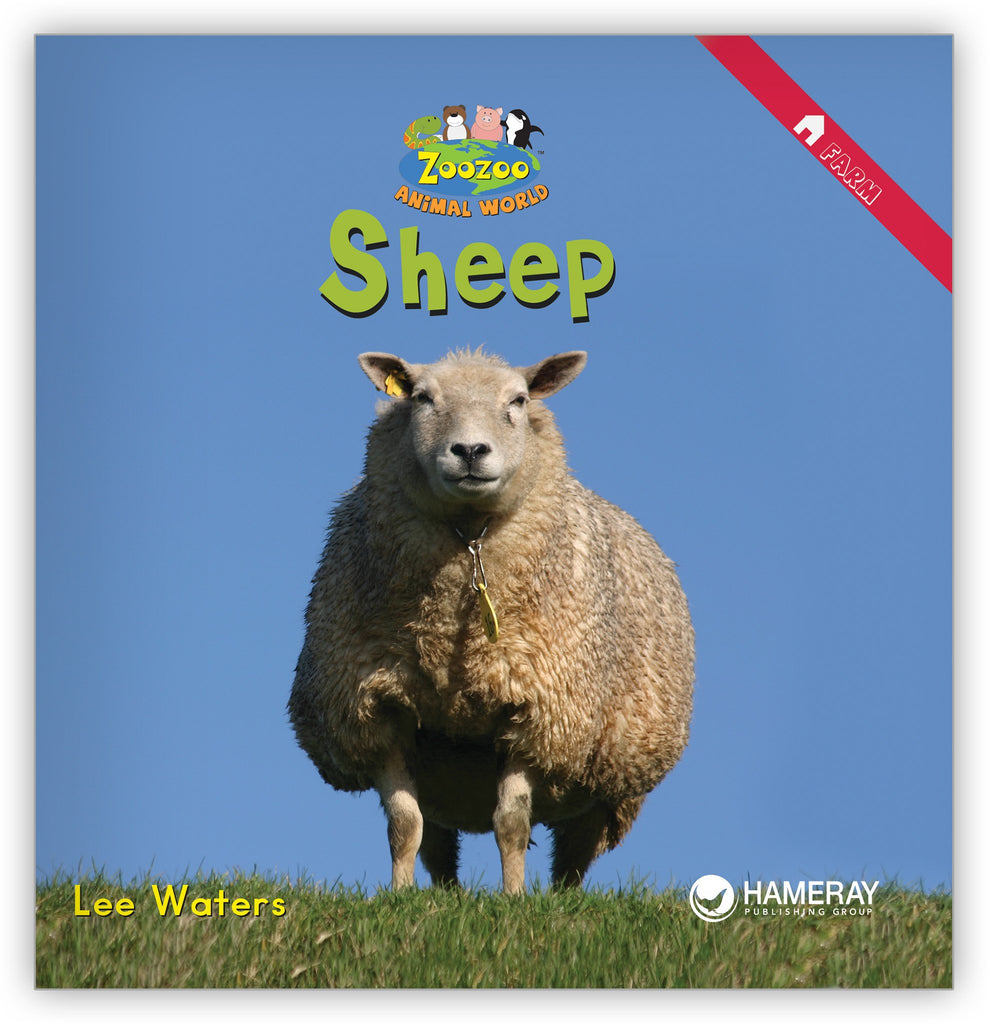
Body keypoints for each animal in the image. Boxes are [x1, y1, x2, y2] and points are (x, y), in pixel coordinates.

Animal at [288, 349, 694, 893]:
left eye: (518, 400)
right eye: (422, 398)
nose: (470, 451)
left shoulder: (536, 709)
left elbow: (512, 823)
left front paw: (514, 897)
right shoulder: (378, 708)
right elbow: (403, 824)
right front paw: (397, 897)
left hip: (605, 776)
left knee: (573, 857)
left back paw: (558, 899)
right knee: (437, 843)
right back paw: (445, 895)